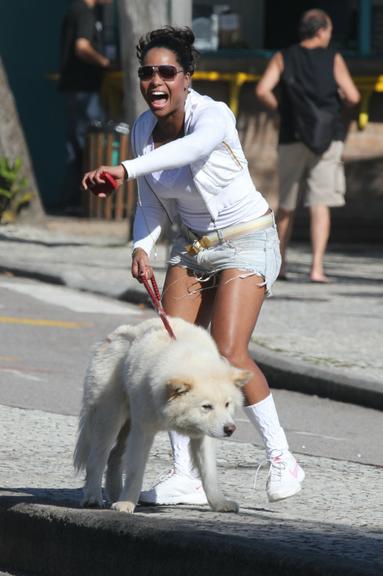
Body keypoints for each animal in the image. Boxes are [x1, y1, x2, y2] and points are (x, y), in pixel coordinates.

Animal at [74, 318, 249, 516]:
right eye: (206, 407)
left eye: (227, 404)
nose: (230, 429)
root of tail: (113, 336)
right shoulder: (143, 431)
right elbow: (135, 471)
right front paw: (127, 503)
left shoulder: (203, 437)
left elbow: (209, 474)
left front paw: (220, 503)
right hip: (109, 418)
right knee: (97, 458)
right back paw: (93, 497)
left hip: (127, 426)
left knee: (113, 457)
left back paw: (116, 494)